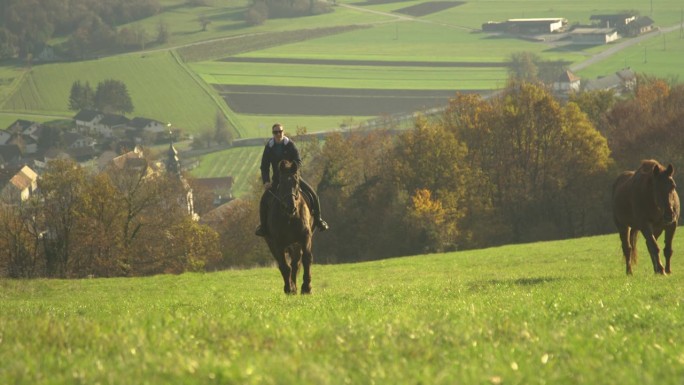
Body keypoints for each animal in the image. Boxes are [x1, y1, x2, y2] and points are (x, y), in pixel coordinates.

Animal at [264, 159, 316, 294]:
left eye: (296, 182)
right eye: (281, 183)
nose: (290, 207)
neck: (289, 217)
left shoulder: (305, 237)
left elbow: (306, 260)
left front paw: (307, 287)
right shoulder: (277, 243)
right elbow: (284, 265)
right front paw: (289, 288)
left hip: (296, 245)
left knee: (295, 264)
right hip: (273, 245)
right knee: (285, 265)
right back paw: (291, 287)